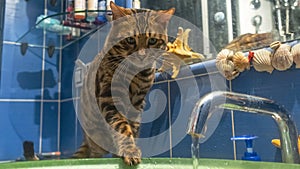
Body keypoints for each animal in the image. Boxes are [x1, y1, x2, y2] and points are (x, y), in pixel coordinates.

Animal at [72, 0, 175, 165]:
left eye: (152, 40)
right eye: (130, 39)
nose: (141, 56)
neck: (135, 73)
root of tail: (86, 139)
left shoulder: (137, 103)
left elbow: (132, 128)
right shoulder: (109, 97)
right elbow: (121, 127)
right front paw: (129, 150)